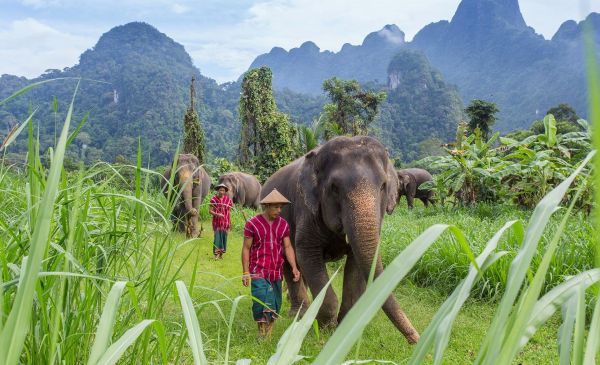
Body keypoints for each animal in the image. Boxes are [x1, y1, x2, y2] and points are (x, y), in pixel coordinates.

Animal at [262, 135, 422, 342]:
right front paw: (325, 329)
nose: (415, 339)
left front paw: (343, 329)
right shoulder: (306, 211)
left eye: (383, 186)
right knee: (290, 264)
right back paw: (298, 314)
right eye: (334, 188)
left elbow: (356, 266)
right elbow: (307, 255)